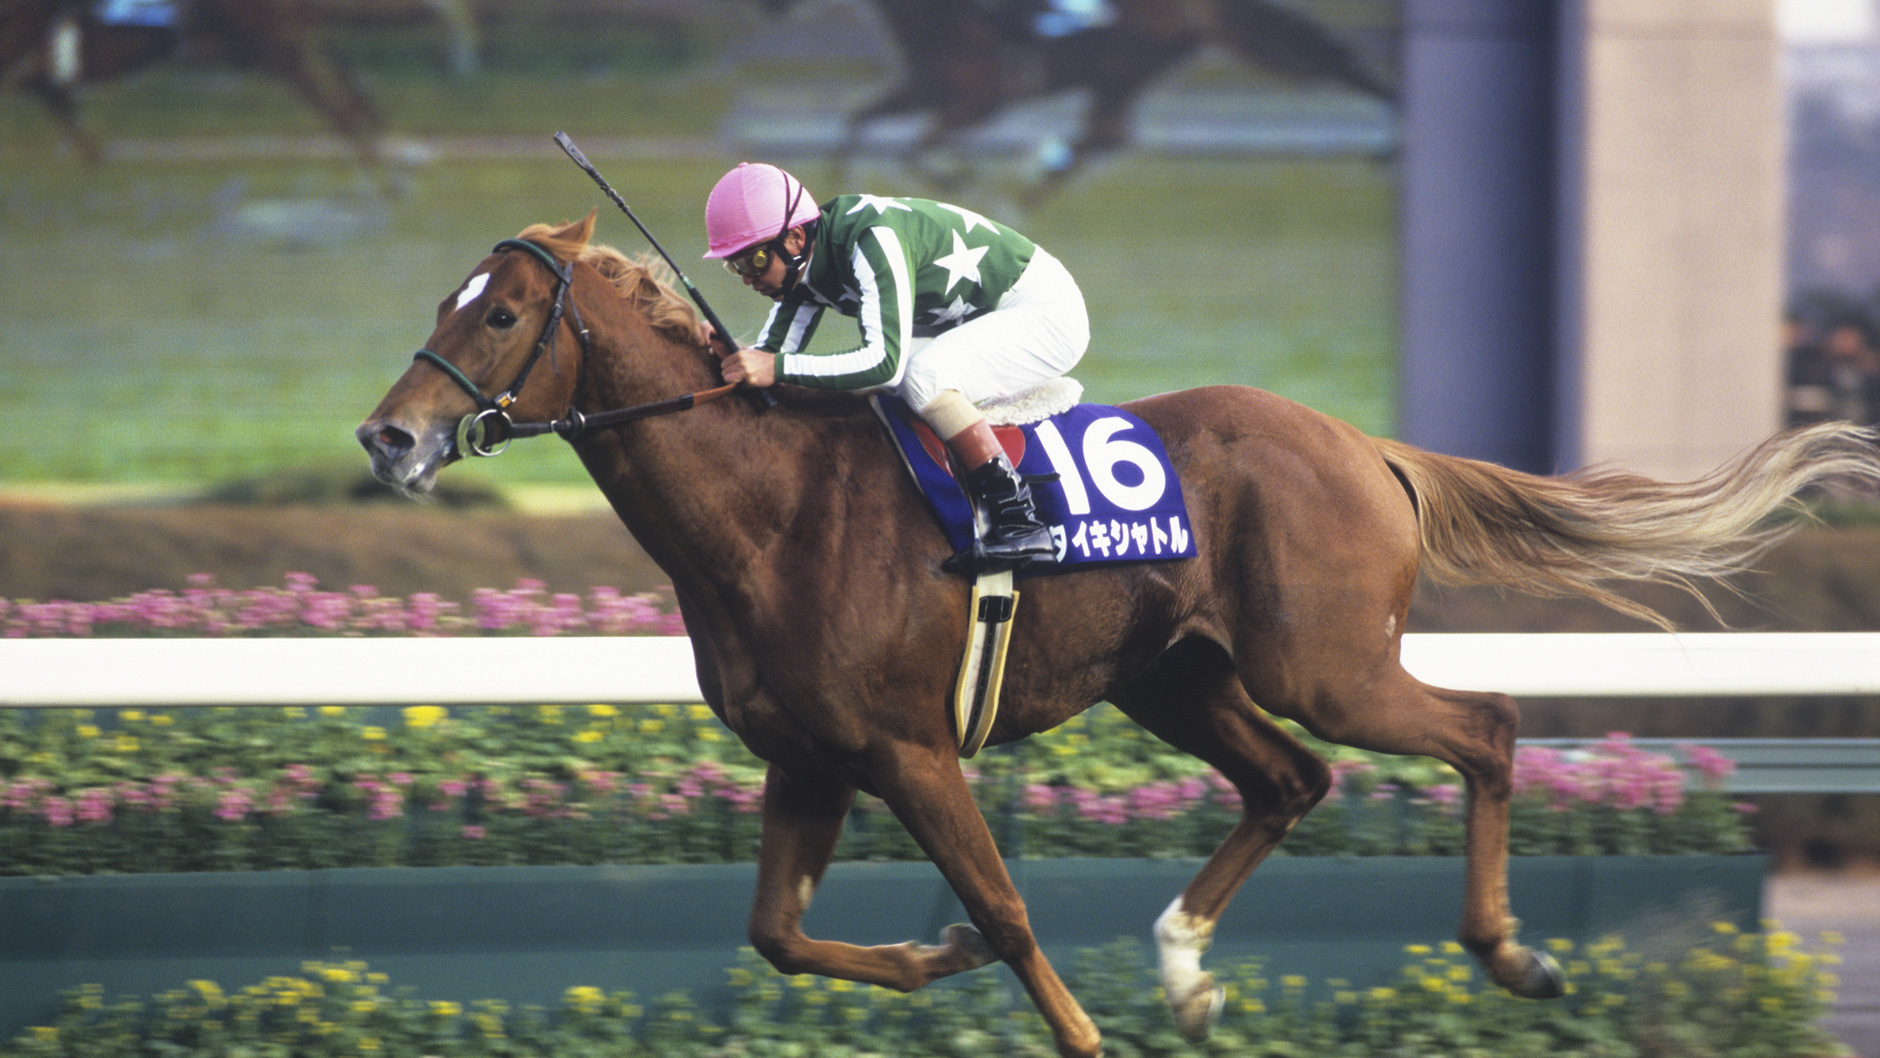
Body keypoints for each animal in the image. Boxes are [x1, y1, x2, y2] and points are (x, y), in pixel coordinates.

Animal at [356, 214, 1879, 1058]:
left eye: (500, 311)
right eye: (438, 304)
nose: (388, 437)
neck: (769, 507)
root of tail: (1365, 444)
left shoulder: (909, 749)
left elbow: (1005, 907)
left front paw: (1054, 1011)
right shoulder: (811, 756)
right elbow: (779, 933)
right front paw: (935, 962)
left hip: (1323, 662)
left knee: (1483, 727)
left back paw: (1509, 951)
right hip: (1173, 678)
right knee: (1292, 779)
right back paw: (1187, 971)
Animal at [762, 0, 1397, 203]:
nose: (771, 8)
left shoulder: (981, 97)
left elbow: (914, 148)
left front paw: (965, 183)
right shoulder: (929, 87)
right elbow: (859, 122)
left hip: (1128, 59)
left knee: (1107, 134)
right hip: (1118, 72)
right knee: (1108, 133)